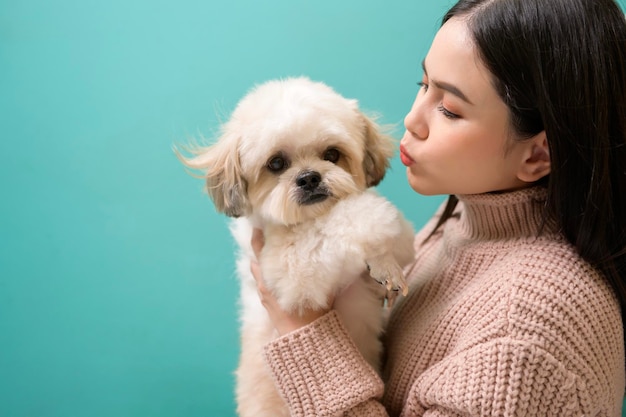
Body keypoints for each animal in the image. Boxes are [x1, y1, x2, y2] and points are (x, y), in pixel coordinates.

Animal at [177, 76, 414, 414]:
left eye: (332, 154)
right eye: (276, 163)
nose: (309, 178)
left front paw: (383, 262)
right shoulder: (291, 272)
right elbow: (338, 222)